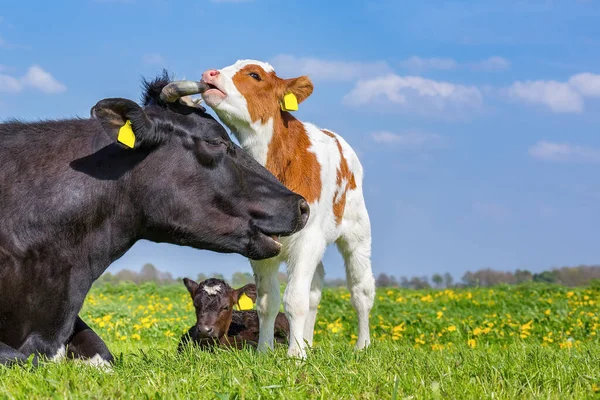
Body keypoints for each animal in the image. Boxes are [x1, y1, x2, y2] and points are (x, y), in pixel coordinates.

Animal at [202, 60, 376, 360]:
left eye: (254, 75)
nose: (209, 73)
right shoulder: (260, 245)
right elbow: (267, 301)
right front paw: (265, 351)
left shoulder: (308, 240)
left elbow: (294, 299)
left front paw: (295, 356)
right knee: (315, 289)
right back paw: (307, 342)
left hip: (357, 232)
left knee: (361, 290)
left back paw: (362, 346)